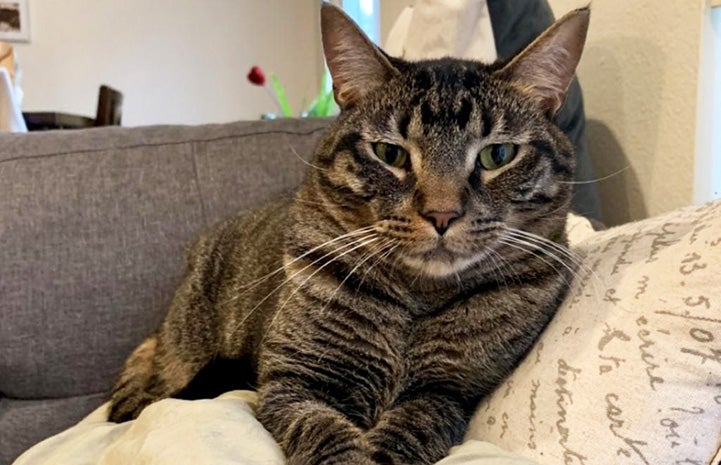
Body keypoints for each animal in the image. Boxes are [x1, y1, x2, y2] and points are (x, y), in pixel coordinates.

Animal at [109, 4, 588, 464]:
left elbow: (415, 424)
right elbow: (323, 431)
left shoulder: (449, 391)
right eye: (390, 153)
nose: (441, 214)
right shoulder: (294, 382)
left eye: (497, 155)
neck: (417, 299)